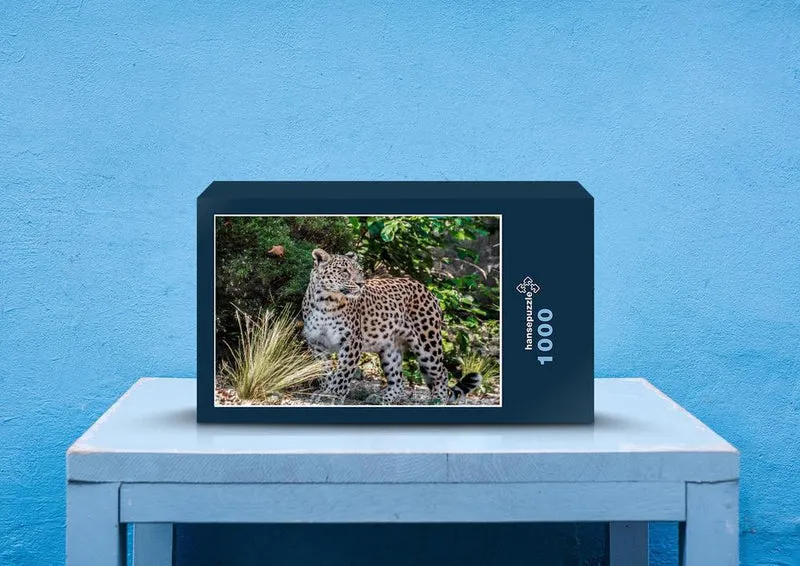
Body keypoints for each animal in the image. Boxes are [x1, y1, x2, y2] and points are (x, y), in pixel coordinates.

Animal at [301, 248, 482, 405]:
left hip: (427, 344)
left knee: (442, 373)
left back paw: (437, 400)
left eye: (359, 271)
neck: (325, 301)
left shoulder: (352, 341)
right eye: (344, 271)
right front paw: (324, 390)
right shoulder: (317, 342)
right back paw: (381, 398)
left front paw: (332, 395)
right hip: (390, 348)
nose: (361, 283)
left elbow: (343, 372)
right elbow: (322, 370)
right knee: (399, 380)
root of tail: (427, 289)